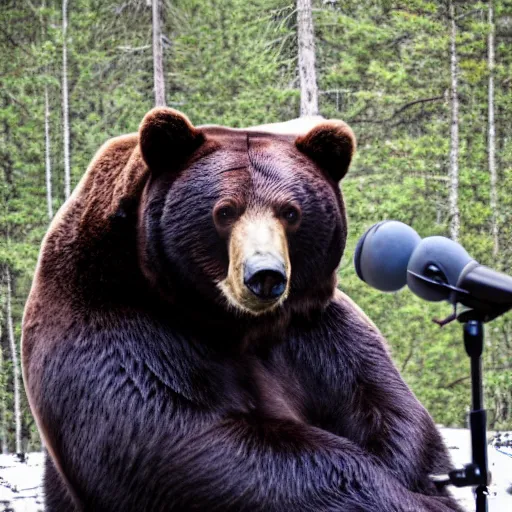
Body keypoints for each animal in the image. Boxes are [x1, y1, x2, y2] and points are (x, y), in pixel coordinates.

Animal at [20, 106, 462, 510]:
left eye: (290, 211)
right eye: (224, 210)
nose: (264, 275)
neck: (235, 323)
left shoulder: (313, 329)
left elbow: (388, 408)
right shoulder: (116, 322)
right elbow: (190, 441)